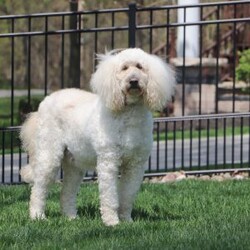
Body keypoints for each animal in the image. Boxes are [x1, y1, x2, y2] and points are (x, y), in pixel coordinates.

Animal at [20, 47, 176, 227]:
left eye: (140, 67)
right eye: (124, 68)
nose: (133, 81)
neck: (129, 113)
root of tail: (45, 101)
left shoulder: (136, 164)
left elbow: (128, 195)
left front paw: (126, 220)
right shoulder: (108, 161)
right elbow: (109, 196)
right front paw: (112, 222)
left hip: (74, 163)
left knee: (67, 192)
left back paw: (71, 217)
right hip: (49, 153)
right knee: (39, 188)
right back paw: (38, 216)